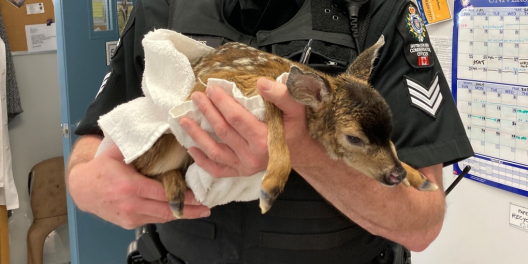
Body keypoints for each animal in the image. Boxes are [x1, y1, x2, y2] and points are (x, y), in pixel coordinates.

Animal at [132, 36, 438, 218]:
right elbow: (274, 111)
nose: (397, 175)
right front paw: (270, 188)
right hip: (166, 146)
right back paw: (175, 197)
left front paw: (422, 180)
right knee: (141, 169)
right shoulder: (227, 82)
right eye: (354, 138)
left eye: (389, 130)